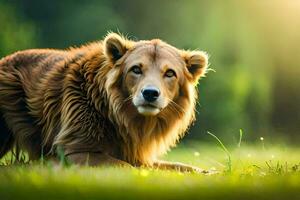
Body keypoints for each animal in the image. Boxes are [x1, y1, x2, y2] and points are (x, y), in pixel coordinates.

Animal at [0, 32, 210, 172]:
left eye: (169, 73)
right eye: (136, 69)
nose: (150, 93)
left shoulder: (135, 150)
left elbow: (179, 165)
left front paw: (208, 171)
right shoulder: (73, 147)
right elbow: (124, 165)